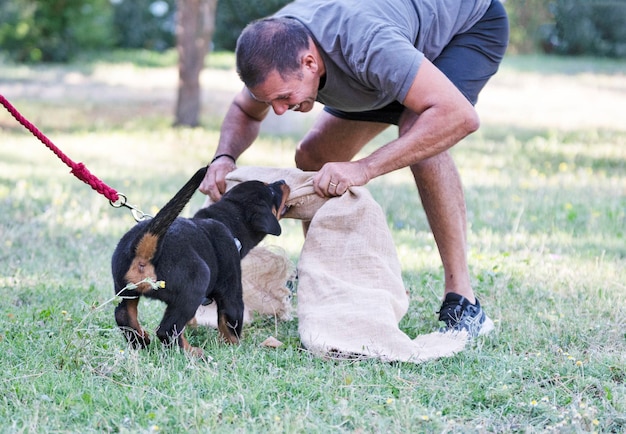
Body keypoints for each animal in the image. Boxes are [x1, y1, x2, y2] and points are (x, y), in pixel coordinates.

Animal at [111, 166, 288, 356]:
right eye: (271, 191)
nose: (283, 181)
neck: (226, 221)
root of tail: (147, 248)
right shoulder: (231, 291)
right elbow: (230, 322)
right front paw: (233, 347)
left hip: (126, 288)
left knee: (123, 314)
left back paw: (141, 339)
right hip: (196, 284)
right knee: (167, 329)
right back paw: (192, 352)